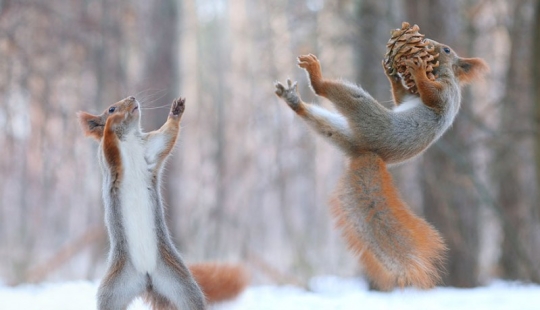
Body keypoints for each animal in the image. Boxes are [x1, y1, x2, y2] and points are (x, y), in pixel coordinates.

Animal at [77, 96, 248, 308]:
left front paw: (176, 111)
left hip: (179, 281)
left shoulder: (151, 148)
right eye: (111, 108)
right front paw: (111, 123)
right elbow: (109, 144)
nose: (132, 98)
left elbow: (167, 136)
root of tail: (146, 277)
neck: (129, 138)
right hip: (113, 291)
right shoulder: (109, 161)